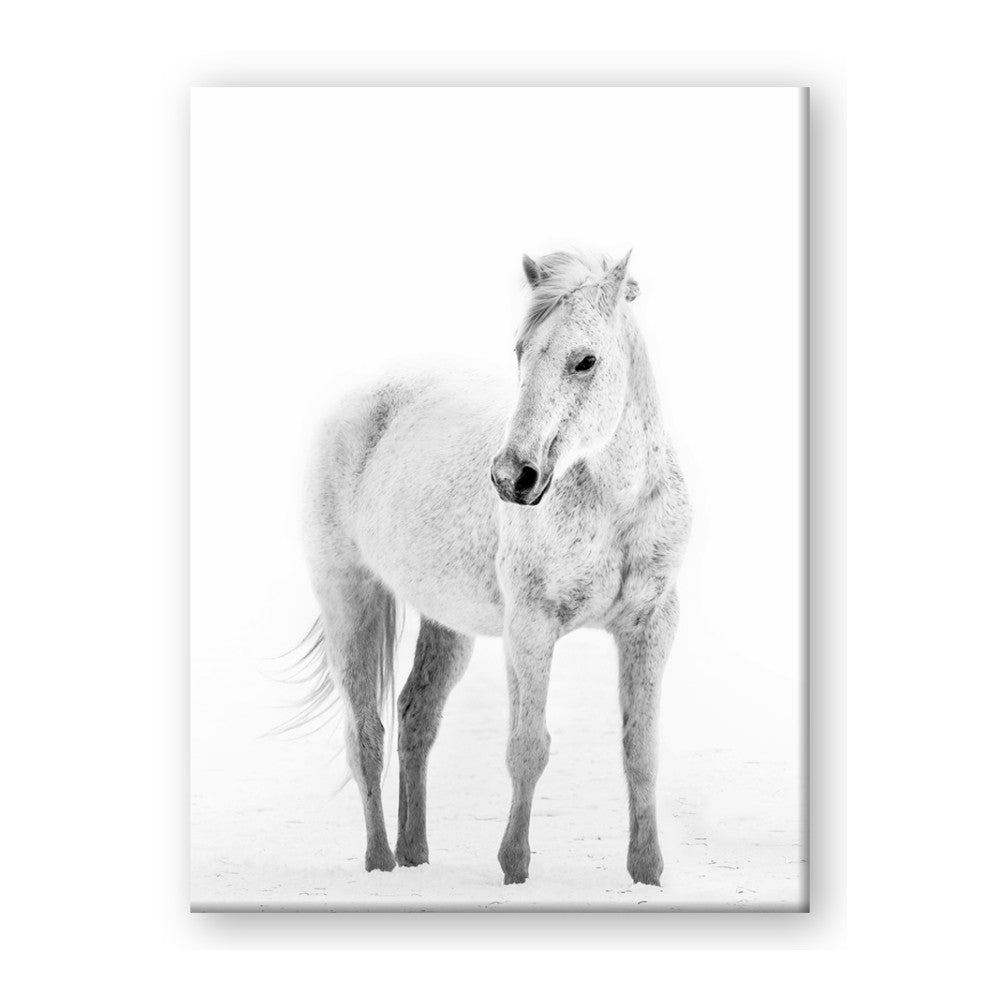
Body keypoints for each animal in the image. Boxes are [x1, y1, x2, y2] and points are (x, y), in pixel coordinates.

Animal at [297, 249, 691, 885]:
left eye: (586, 360)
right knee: (366, 736)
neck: (616, 506)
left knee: (415, 716)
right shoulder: (530, 628)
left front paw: (647, 873)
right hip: (348, 598)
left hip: (445, 622)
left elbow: (641, 752)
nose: (512, 478)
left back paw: (415, 854)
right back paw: (381, 863)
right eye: (520, 352)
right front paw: (514, 868)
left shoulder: (652, 625)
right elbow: (527, 748)